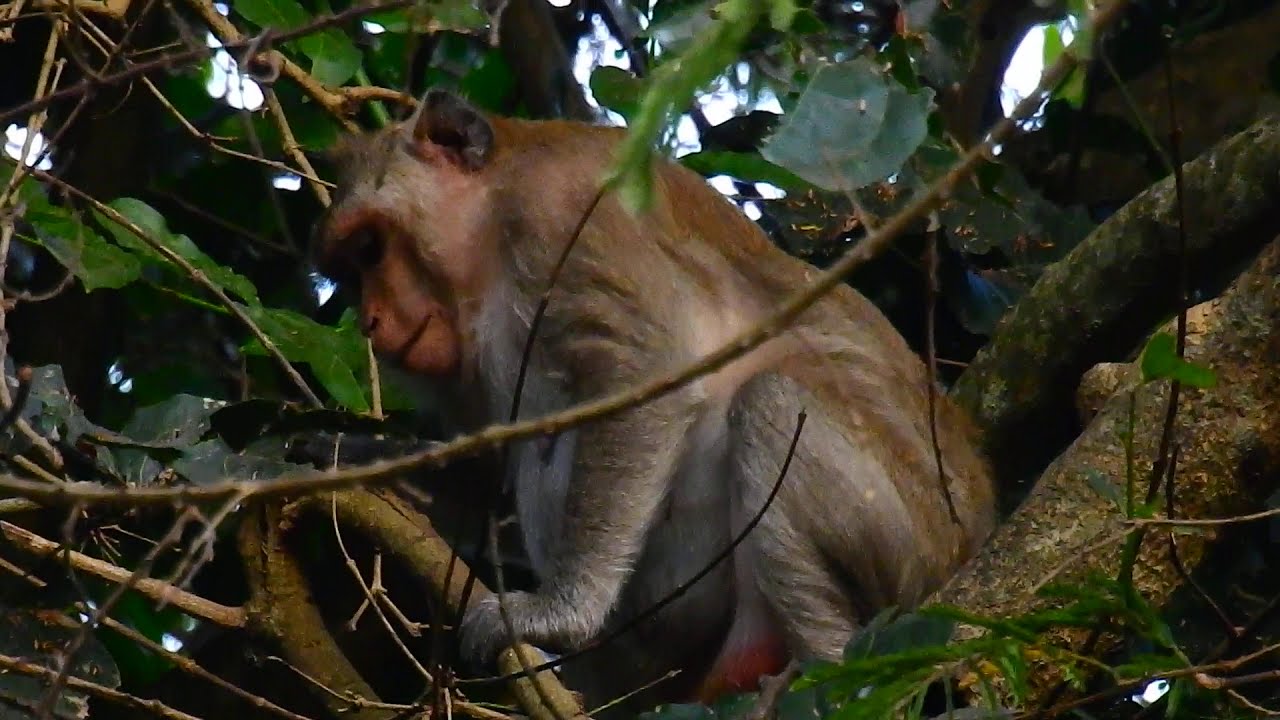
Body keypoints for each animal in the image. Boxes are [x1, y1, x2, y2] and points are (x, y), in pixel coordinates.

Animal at [314, 88, 996, 712]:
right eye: (348, 268)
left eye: (372, 248)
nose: (371, 321)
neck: (493, 217)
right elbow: (489, 464)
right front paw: (349, 456)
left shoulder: (566, 209)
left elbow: (643, 373)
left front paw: (558, 614)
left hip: (908, 542)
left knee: (770, 400)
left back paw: (826, 669)